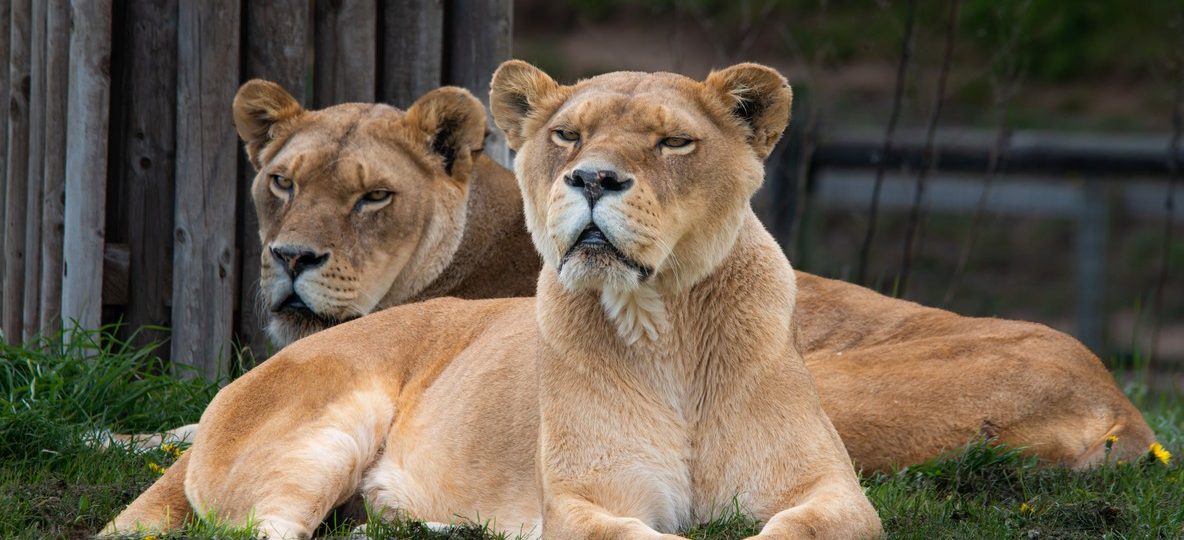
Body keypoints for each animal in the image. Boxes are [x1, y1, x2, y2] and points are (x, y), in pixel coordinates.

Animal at [105, 61, 883, 539]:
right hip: (319, 436)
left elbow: (799, 524)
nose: (592, 178)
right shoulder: (582, 502)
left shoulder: (837, 494)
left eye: (673, 142)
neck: (668, 327)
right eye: (568, 135)